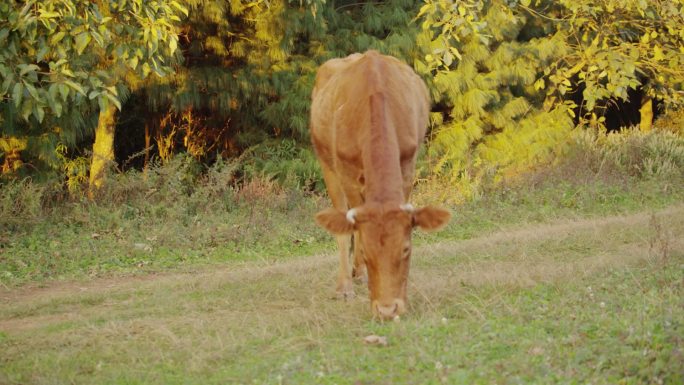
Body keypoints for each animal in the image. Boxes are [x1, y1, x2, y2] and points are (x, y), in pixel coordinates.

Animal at [308, 51, 448, 320]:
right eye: (367, 254)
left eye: (406, 249)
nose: (387, 309)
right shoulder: (347, 174)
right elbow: (351, 230)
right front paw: (350, 284)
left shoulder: (408, 165)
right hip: (326, 164)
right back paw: (349, 281)